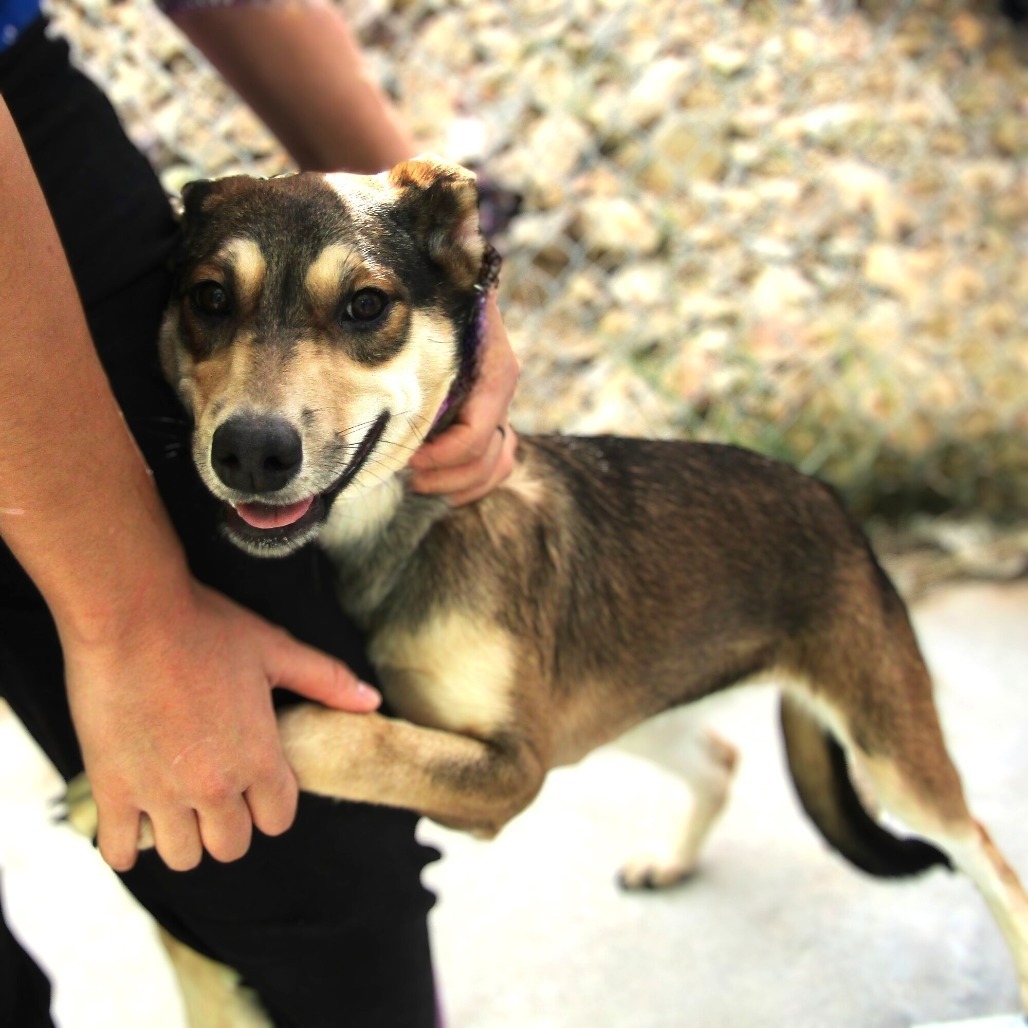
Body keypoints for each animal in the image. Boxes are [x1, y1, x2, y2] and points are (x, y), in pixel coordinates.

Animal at [74, 156, 1028, 1015]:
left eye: (365, 306)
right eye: (208, 299)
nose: (250, 453)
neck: (409, 528)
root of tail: (831, 499)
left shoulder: (512, 770)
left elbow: (327, 736)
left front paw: (134, 791)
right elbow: (365, 734)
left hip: (887, 747)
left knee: (985, 852)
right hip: (626, 707)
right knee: (719, 760)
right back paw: (672, 860)